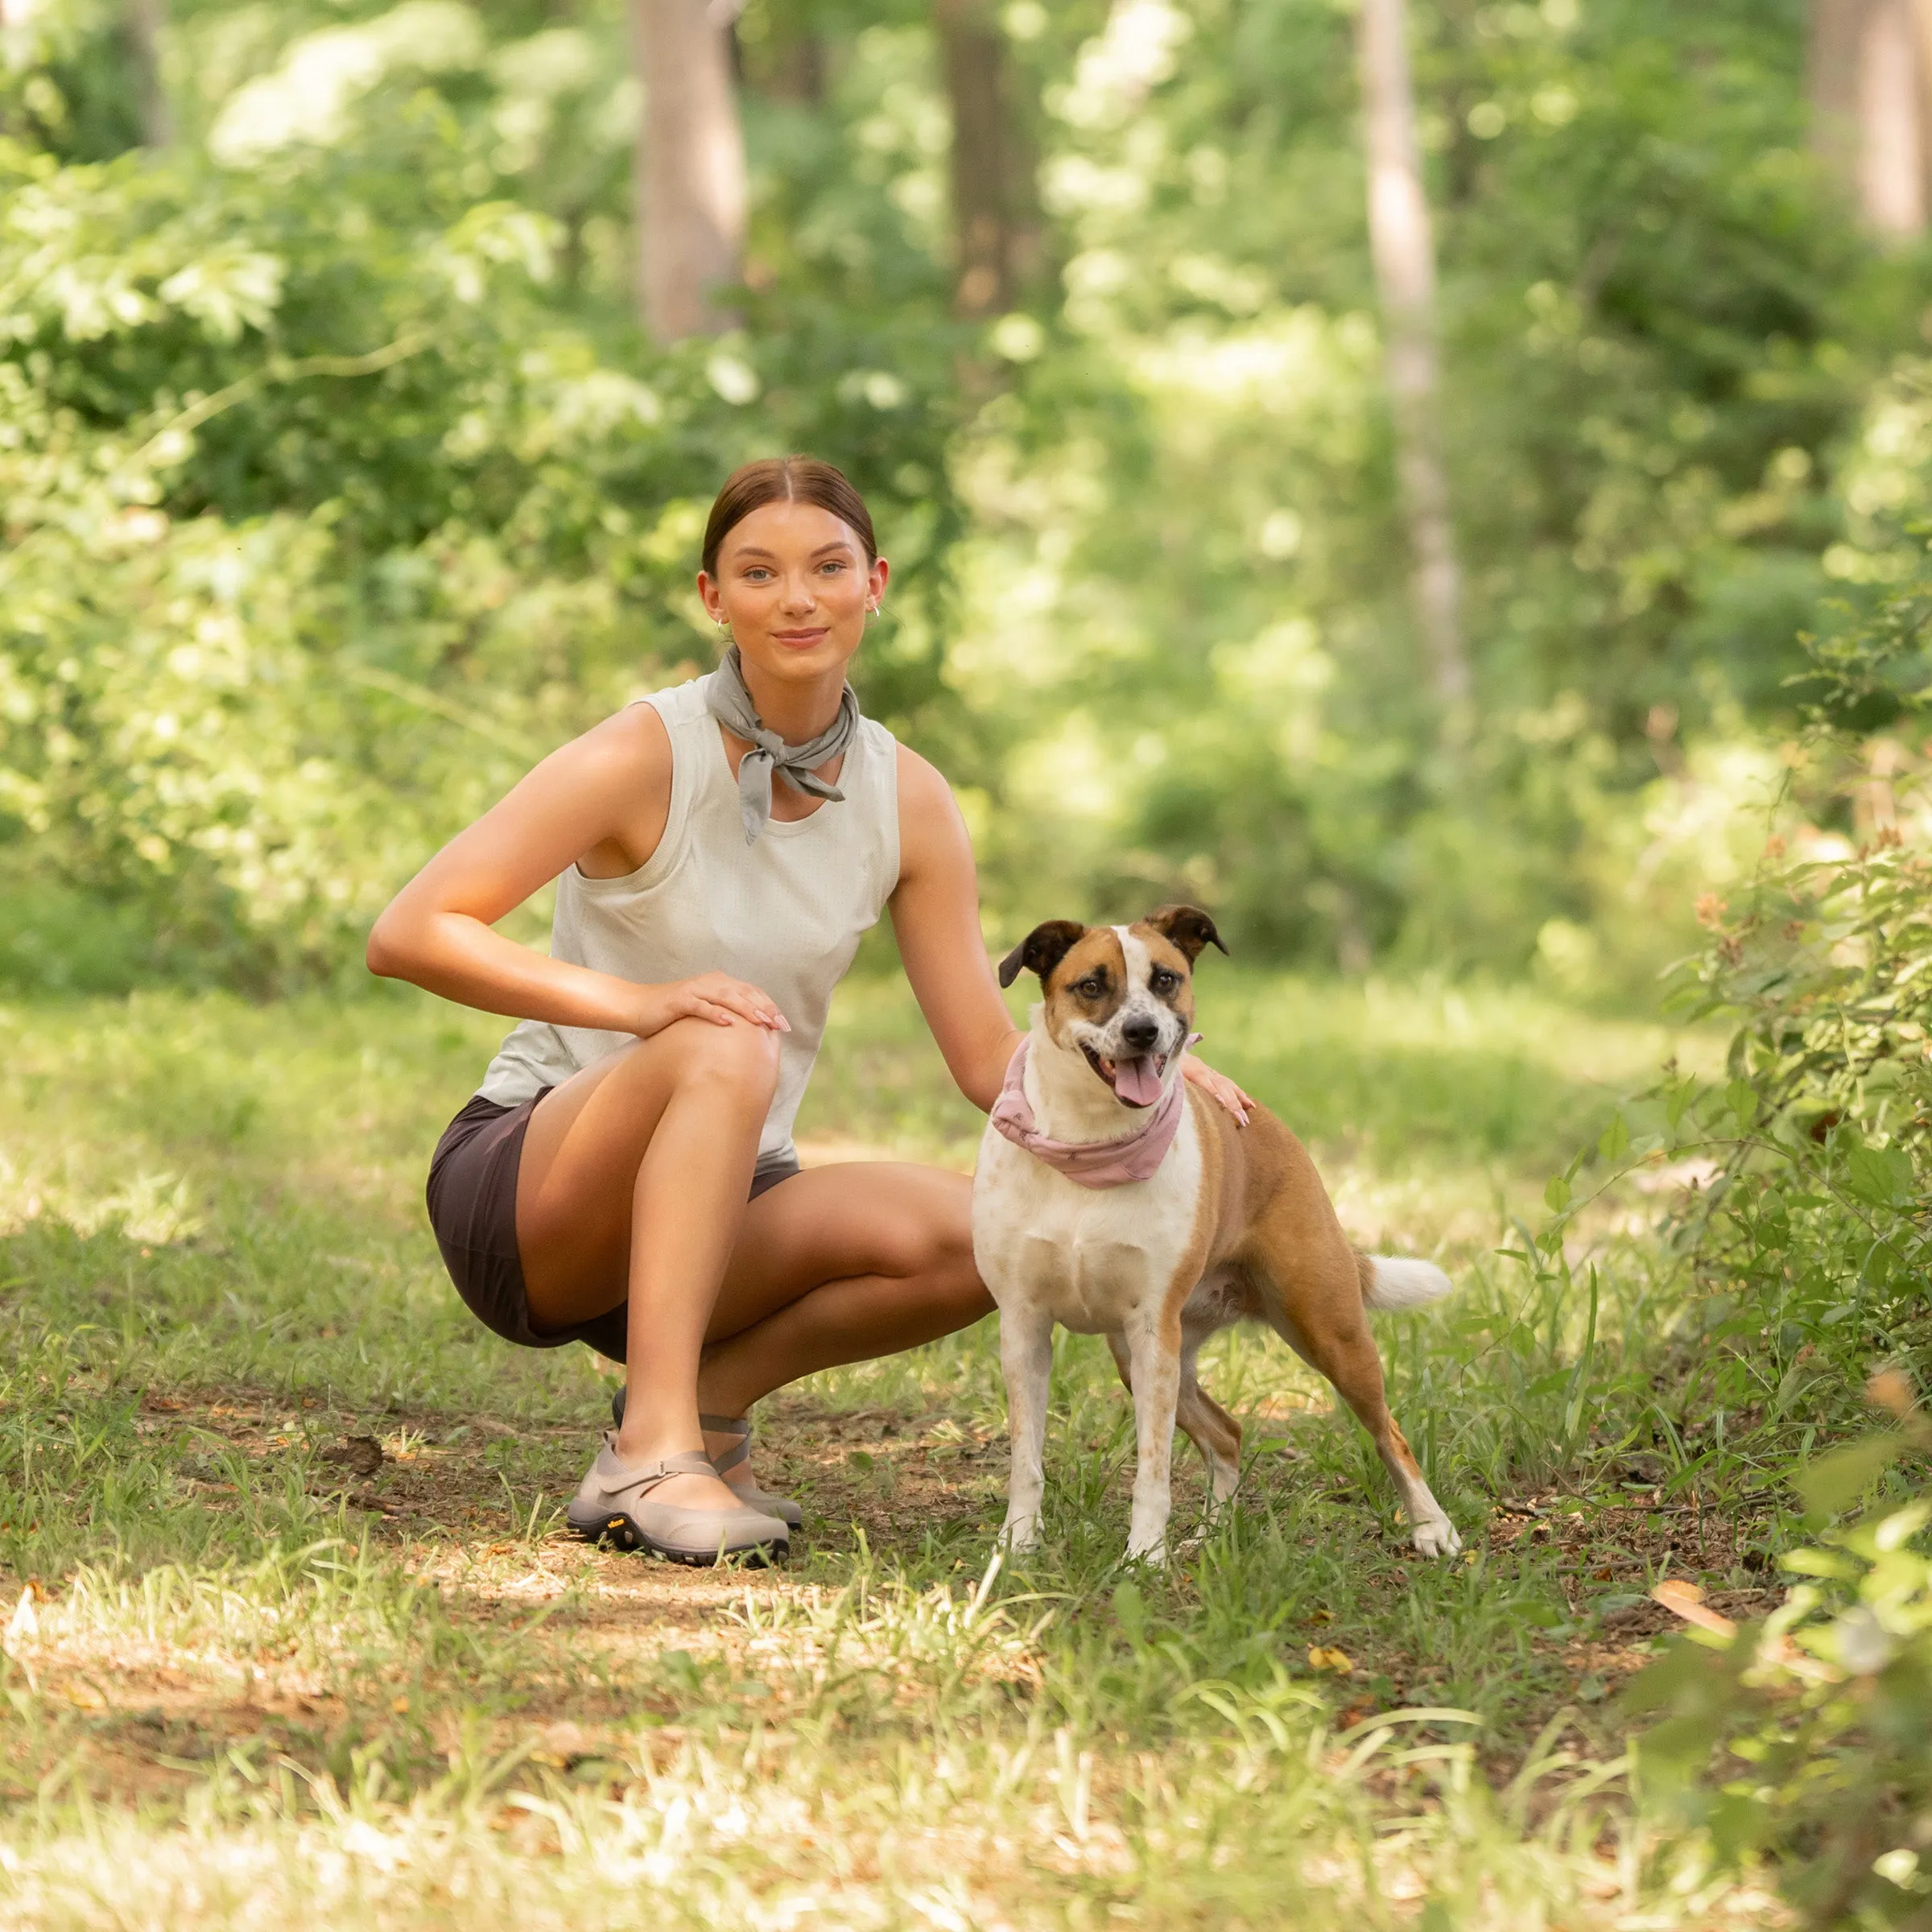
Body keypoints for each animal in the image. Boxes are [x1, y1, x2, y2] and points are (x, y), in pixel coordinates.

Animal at [973, 908, 1452, 1568]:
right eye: (1091, 985)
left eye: (1166, 979)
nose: (1144, 1031)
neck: (1091, 1142)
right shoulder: (1025, 1327)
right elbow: (1026, 1459)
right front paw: (1017, 1546)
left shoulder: (1153, 1330)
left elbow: (1152, 1468)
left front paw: (1145, 1556)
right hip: (1148, 1358)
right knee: (1228, 1433)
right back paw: (1212, 1533)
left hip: (1327, 1332)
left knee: (1390, 1434)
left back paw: (1432, 1526)